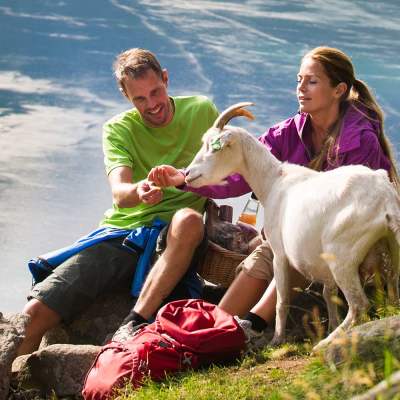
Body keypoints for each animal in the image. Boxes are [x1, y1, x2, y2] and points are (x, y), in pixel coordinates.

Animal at [188, 101, 400, 348]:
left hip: (342, 256)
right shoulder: (322, 264)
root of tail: (385, 198)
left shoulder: (280, 253)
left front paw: (277, 339)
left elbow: (282, 299)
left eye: (214, 147)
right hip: (389, 249)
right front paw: (329, 324)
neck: (273, 181)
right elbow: (329, 295)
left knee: (359, 304)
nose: (188, 174)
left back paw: (324, 344)